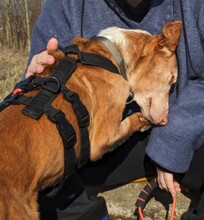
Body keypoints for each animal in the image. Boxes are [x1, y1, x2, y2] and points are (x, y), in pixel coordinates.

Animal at [0, 21, 181, 218]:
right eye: (172, 79)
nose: (164, 121)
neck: (111, 53)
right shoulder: (100, 141)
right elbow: (132, 121)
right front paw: (144, 123)